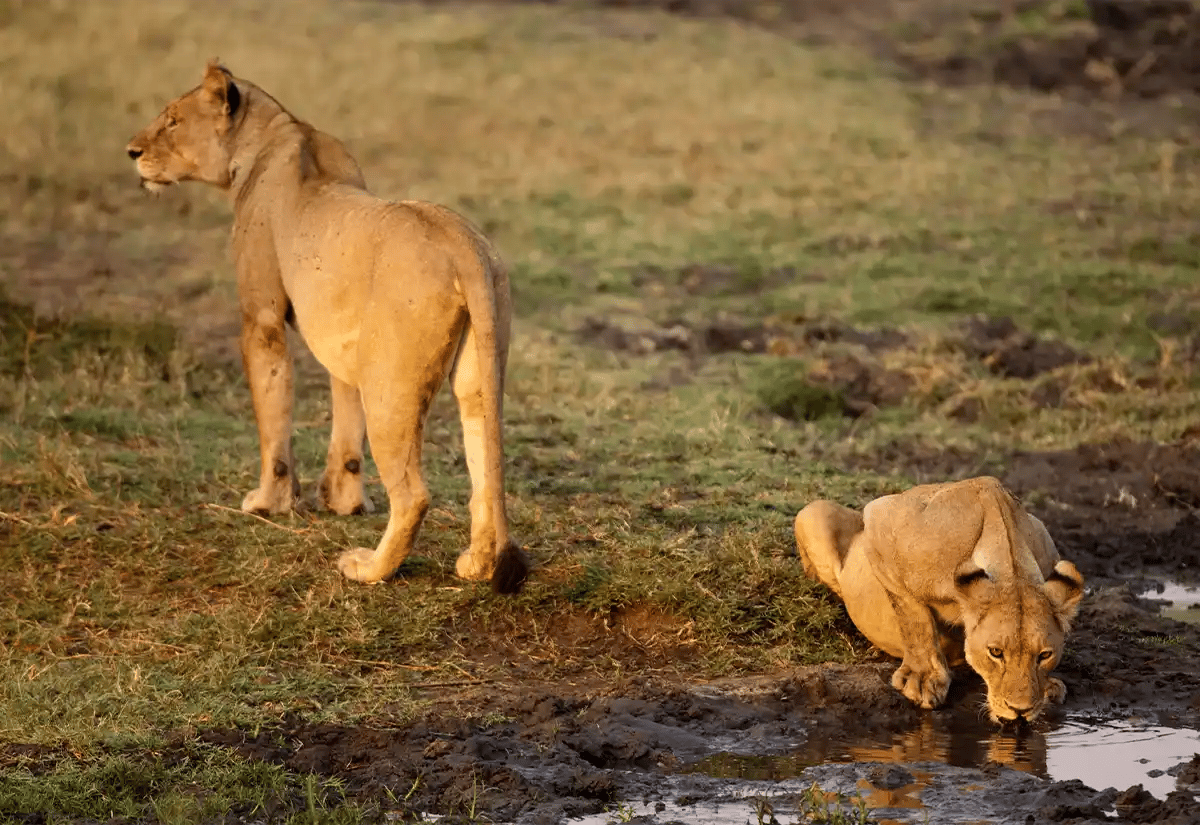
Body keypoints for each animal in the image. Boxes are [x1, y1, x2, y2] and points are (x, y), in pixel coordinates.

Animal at [126, 60, 528, 593]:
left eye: (172, 120)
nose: (131, 152)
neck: (278, 135)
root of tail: (461, 242)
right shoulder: (345, 337)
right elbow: (344, 416)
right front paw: (343, 500)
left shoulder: (262, 317)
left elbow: (273, 417)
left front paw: (268, 503)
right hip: (477, 368)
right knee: (485, 468)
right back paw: (476, 565)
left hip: (390, 384)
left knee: (414, 494)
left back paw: (369, 569)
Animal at [793, 477, 1084, 723]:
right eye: (996, 652)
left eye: (1044, 655)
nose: (1020, 710)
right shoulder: (880, 518)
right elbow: (912, 615)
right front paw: (922, 679)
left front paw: (1049, 688)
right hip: (813, 512)